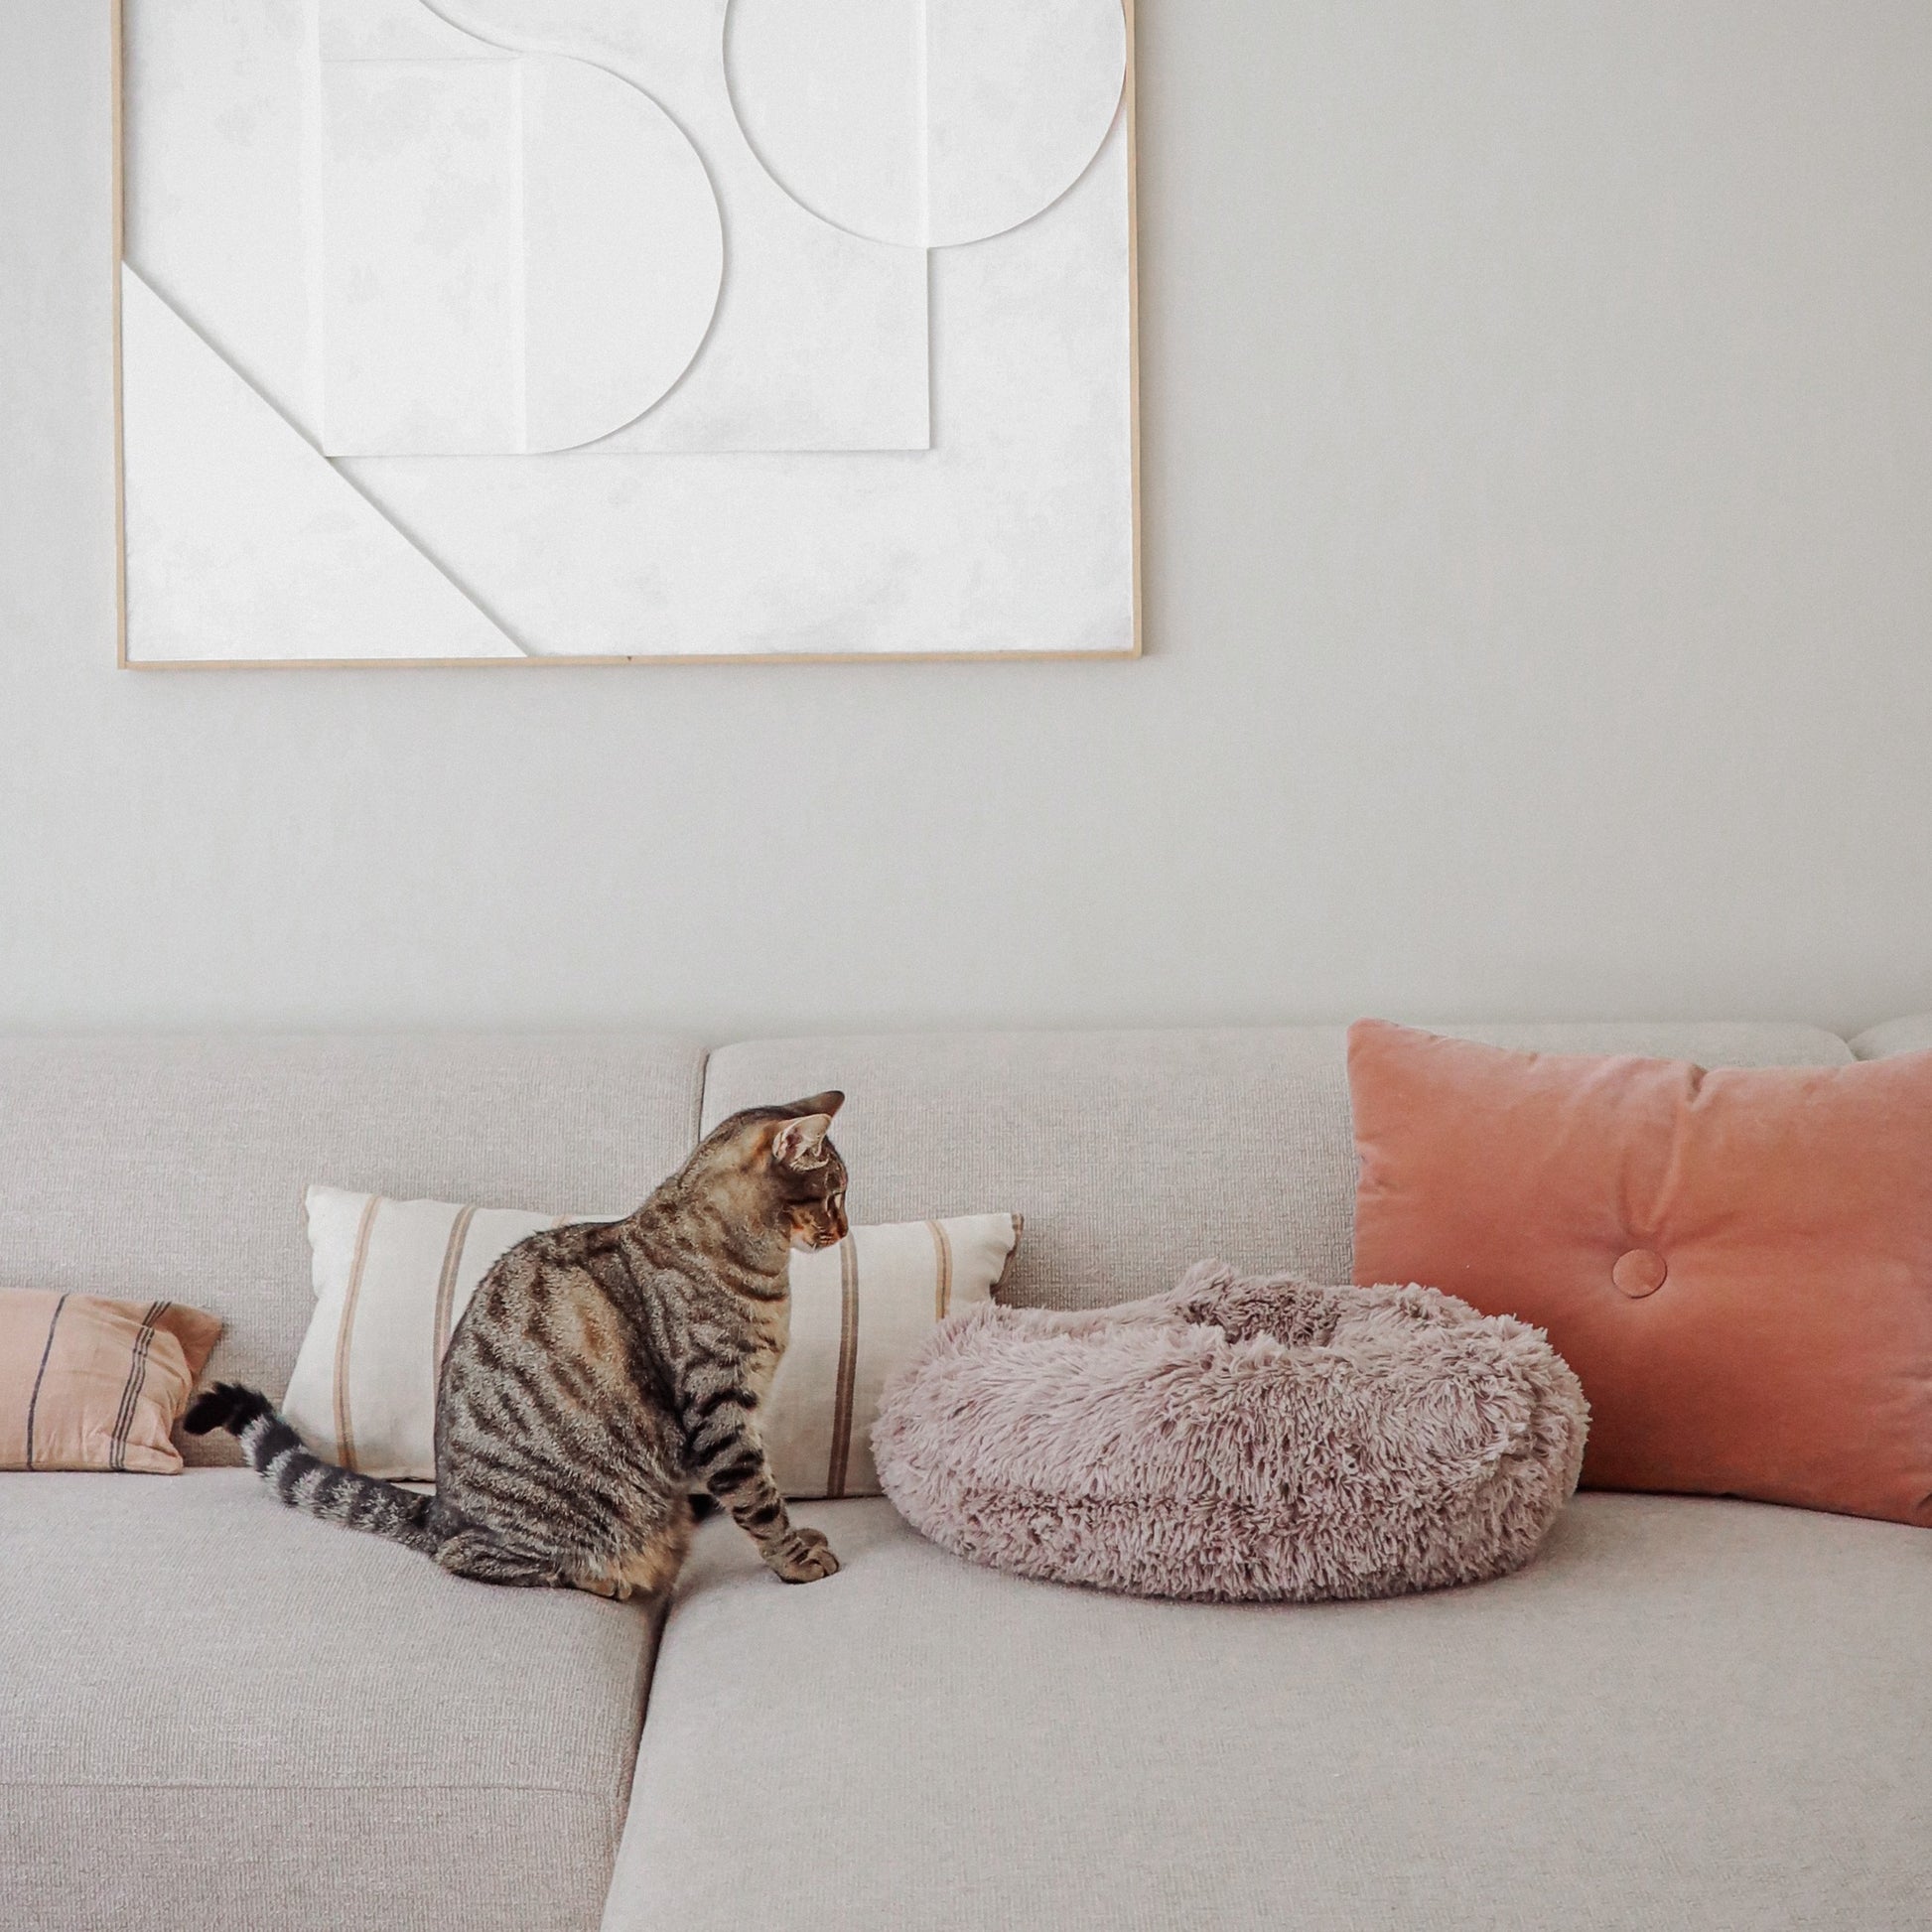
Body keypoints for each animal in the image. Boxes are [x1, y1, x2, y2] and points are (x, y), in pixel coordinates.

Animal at [186, 1093, 850, 1599]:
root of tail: (436, 1510)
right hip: (558, 1518)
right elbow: (758, 1498)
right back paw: (608, 1578)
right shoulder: (719, 1409)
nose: (844, 1230)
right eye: (835, 1194)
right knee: (470, 1555)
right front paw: (795, 1560)